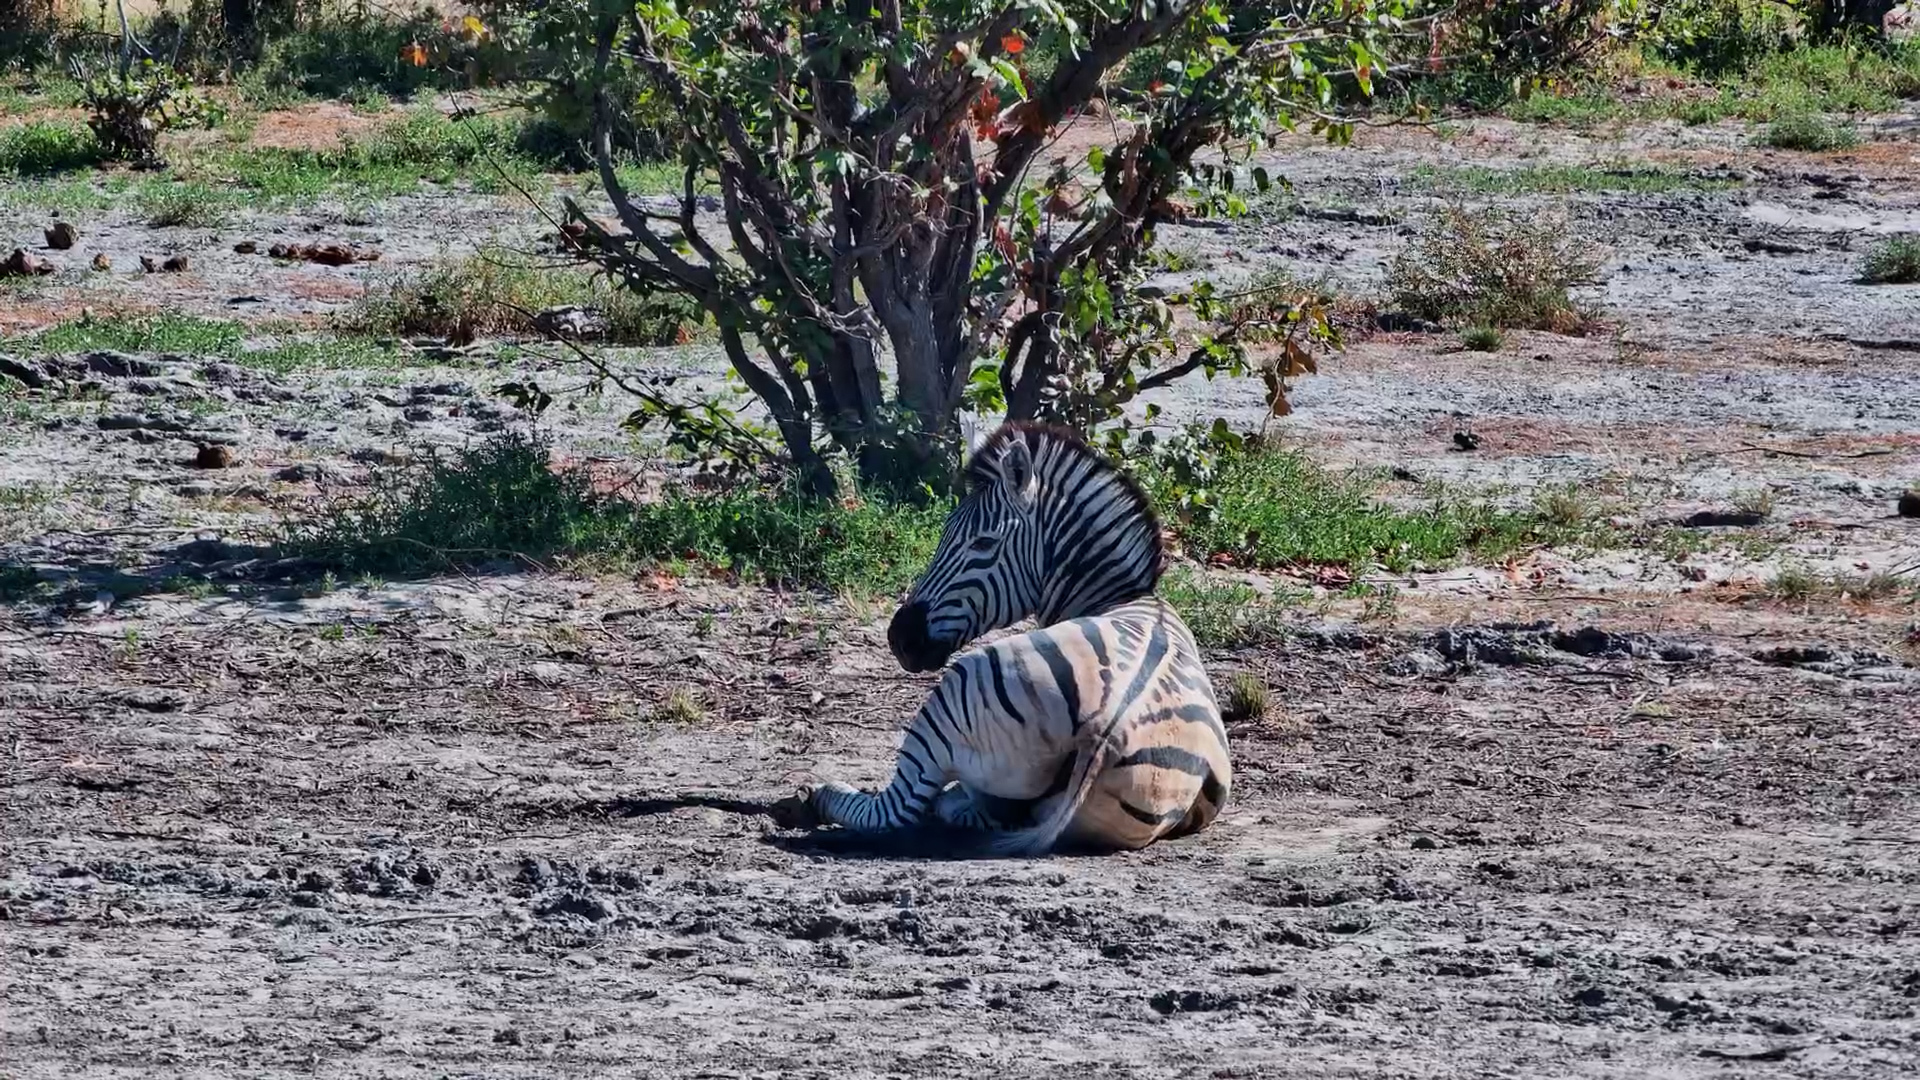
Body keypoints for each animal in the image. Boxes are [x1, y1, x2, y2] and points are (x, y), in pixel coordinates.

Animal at [778, 421, 1231, 855]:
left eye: (983, 543)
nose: (899, 638)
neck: (1122, 597)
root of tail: (1106, 731)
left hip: (952, 697)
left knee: (896, 807)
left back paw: (810, 796)